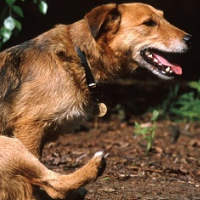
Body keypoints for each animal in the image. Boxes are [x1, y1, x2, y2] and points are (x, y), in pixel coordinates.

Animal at [0, 1, 191, 200]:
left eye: (163, 17)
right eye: (149, 23)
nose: (190, 39)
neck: (79, 56)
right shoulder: (29, 128)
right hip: (8, 143)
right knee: (54, 183)